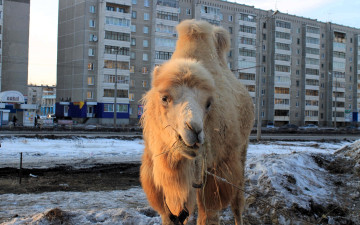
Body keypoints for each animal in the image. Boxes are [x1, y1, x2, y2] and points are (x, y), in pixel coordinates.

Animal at [139, 19, 255, 225]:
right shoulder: (158, 178)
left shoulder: (215, 172)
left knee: (237, 201)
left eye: (209, 103)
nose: (194, 131)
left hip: (240, 151)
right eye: (164, 98)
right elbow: (173, 214)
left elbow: (208, 213)